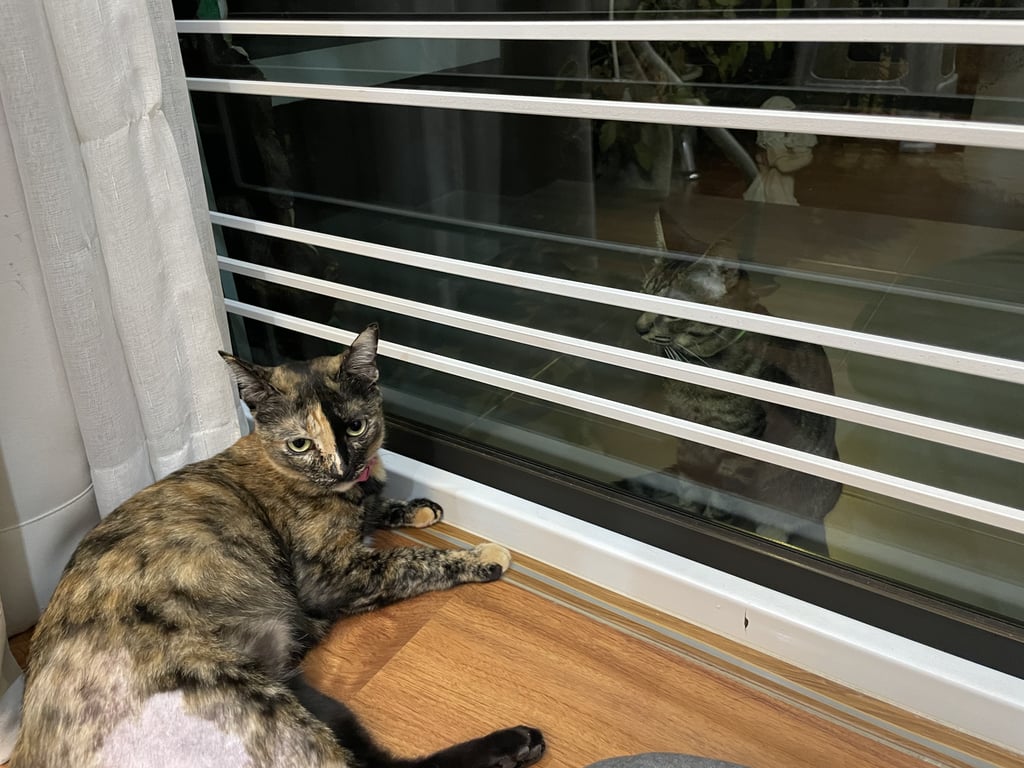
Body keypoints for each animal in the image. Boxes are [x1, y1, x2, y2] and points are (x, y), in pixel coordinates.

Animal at [10, 324, 545, 768]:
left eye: (355, 426)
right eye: (300, 444)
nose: (343, 467)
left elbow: (380, 510)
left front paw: (416, 508)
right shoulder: (330, 577)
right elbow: (411, 559)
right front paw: (481, 556)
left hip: (306, 694)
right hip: (247, 698)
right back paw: (517, 741)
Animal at [628, 210, 842, 548]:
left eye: (674, 309)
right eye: (645, 294)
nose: (639, 327)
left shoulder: (742, 440)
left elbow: (722, 500)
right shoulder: (686, 435)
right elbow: (690, 485)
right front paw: (688, 511)